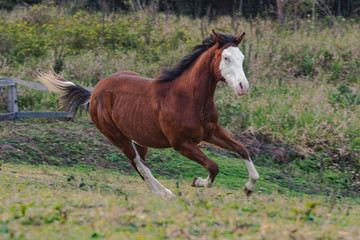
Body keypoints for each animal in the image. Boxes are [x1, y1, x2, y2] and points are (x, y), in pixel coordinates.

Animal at [38, 30, 258, 199]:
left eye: (242, 58)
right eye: (226, 57)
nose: (243, 86)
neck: (188, 98)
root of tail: (94, 92)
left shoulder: (210, 133)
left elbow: (242, 149)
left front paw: (249, 188)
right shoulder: (181, 144)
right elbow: (213, 166)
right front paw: (196, 182)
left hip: (139, 139)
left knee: (140, 165)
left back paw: (163, 192)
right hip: (118, 137)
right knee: (140, 165)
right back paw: (166, 194)